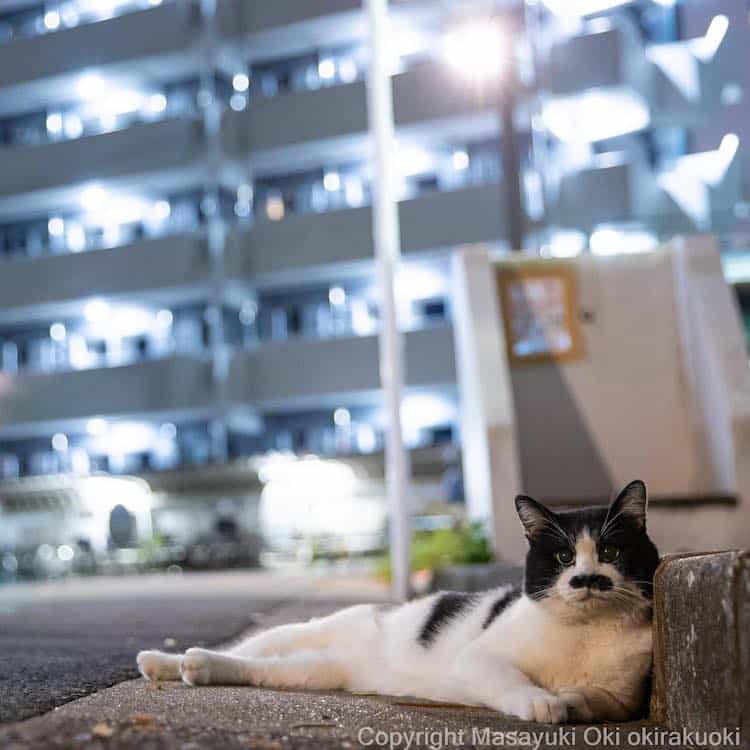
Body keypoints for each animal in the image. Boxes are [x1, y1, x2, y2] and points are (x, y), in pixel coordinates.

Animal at [138, 484, 660, 724]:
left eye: (611, 552)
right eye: (564, 557)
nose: (587, 578)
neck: (583, 635)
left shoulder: (623, 699)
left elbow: (593, 699)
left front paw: (568, 700)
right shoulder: (480, 658)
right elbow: (511, 679)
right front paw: (541, 702)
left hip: (312, 670)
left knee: (253, 668)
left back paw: (191, 667)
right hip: (304, 631)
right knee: (249, 647)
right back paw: (166, 660)